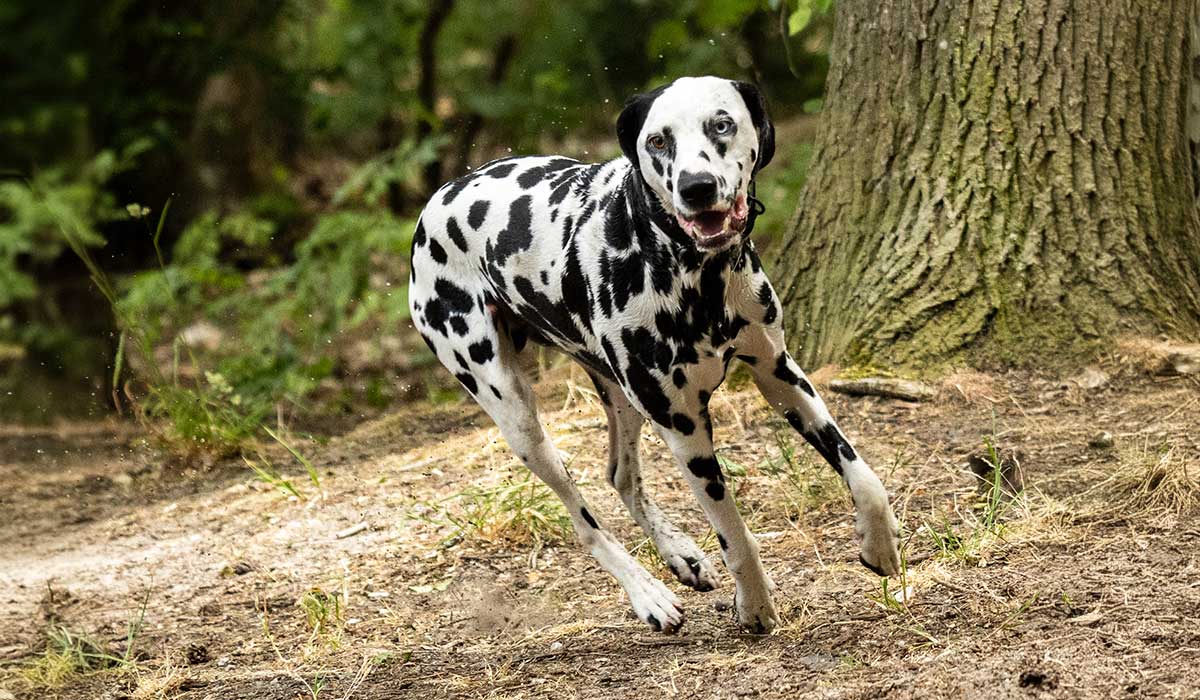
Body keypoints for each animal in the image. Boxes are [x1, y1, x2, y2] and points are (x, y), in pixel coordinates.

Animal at [410, 76, 902, 633]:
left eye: (722, 124)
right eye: (658, 141)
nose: (696, 186)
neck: (697, 275)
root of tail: (438, 199)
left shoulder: (779, 374)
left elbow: (862, 474)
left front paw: (879, 543)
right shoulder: (683, 425)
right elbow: (733, 531)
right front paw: (754, 602)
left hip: (622, 397)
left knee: (621, 476)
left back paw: (679, 554)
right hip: (518, 416)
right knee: (583, 517)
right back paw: (647, 593)